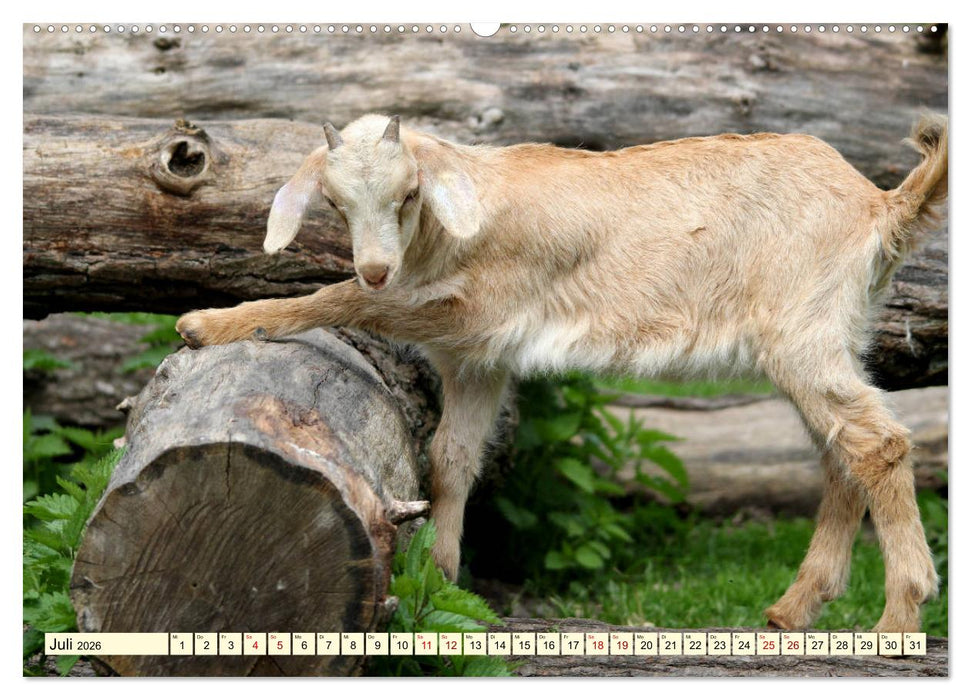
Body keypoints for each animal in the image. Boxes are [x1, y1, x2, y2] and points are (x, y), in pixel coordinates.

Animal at [176, 113, 947, 632]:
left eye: (408, 194)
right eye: (335, 203)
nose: (374, 265)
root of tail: (878, 204)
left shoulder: (473, 312)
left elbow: (342, 300)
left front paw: (211, 323)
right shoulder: (477, 361)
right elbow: (451, 459)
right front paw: (442, 576)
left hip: (801, 334)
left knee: (878, 444)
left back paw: (897, 619)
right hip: (829, 334)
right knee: (840, 453)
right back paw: (795, 608)